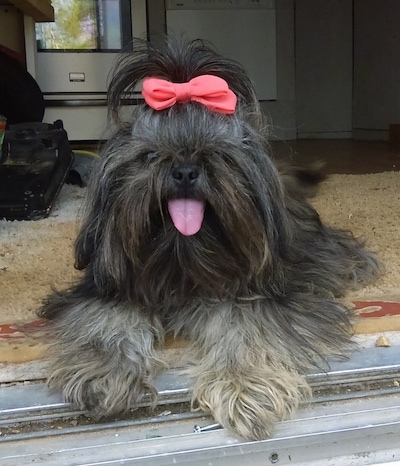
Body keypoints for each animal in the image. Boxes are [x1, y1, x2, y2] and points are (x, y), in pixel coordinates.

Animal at [39, 37, 380, 440]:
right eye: (149, 155)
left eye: (219, 155)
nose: (185, 170)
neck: (181, 264)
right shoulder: (104, 291)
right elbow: (105, 322)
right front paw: (104, 372)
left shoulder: (263, 296)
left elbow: (247, 328)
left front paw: (243, 387)